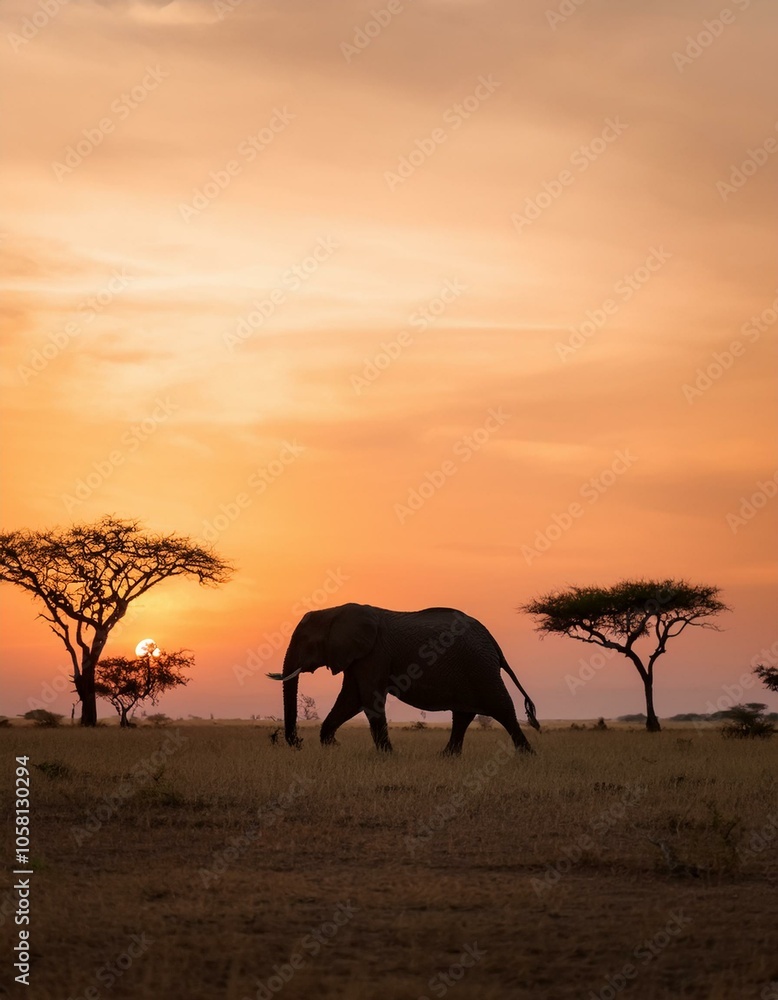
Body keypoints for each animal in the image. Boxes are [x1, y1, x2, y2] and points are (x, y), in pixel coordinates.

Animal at [268, 603, 540, 755]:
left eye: (306, 642)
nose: (298, 742)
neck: (334, 611)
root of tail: (492, 640)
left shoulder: (374, 653)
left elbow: (368, 698)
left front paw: (388, 755)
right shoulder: (358, 656)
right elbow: (351, 699)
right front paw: (332, 746)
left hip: (480, 666)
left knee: (502, 707)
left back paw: (528, 755)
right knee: (463, 715)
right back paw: (446, 757)